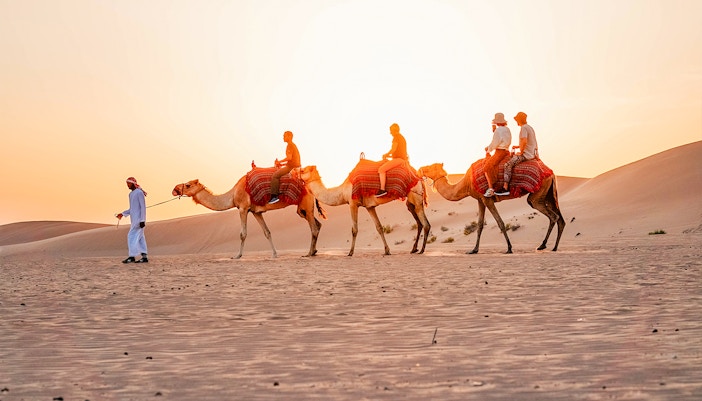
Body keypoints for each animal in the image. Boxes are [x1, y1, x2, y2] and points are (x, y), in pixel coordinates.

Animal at [172, 177, 325, 259]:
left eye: (187, 185)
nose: (174, 189)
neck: (232, 195)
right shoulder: (256, 212)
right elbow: (267, 232)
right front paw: (274, 254)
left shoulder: (243, 208)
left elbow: (242, 234)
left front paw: (237, 256)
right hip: (303, 209)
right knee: (317, 224)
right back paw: (314, 251)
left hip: (305, 205)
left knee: (314, 228)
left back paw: (309, 253)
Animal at [295, 165, 430, 256]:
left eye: (302, 170)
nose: (293, 171)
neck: (342, 192)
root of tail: (419, 178)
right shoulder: (370, 207)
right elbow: (379, 227)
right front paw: (387, 251)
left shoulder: (352, 203)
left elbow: (354, 229)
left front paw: (350, 252)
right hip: (411, 202)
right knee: (420, 223)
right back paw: (414, 249)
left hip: (416, 198)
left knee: (426, 224)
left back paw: (421, 250)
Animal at [417, 163, 564, 254]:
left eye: (430, 167)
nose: (420, 169)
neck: (466, 184)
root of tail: (551, 173)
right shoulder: (480, 200)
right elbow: (480, 225)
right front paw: (474, 250)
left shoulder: (487, 199)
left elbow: (500, 222)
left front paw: (509, 248)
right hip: (549, 193)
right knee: (560, 219)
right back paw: (553, 247)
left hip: (538, 193)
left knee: (553, 215)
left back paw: (543, 245)